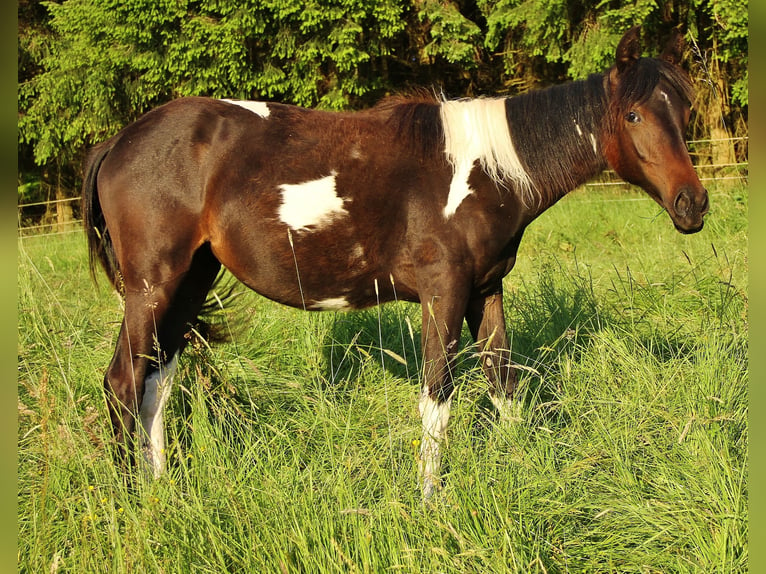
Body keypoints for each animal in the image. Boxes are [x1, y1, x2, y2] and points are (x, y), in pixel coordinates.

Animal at [82, 25, 708, 500]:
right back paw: (130, 499)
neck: (488, 171)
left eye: (684, 111)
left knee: (155, 382)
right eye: (633, 115)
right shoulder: (443, 293)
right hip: (152, 287)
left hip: (189, 283)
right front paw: (430, 499)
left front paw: (517, 471)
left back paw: (161, 489)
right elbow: (438, 396)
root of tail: (119, 142)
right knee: (123, 382)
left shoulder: (485, 292)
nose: (693, 204)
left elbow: (503, 382)